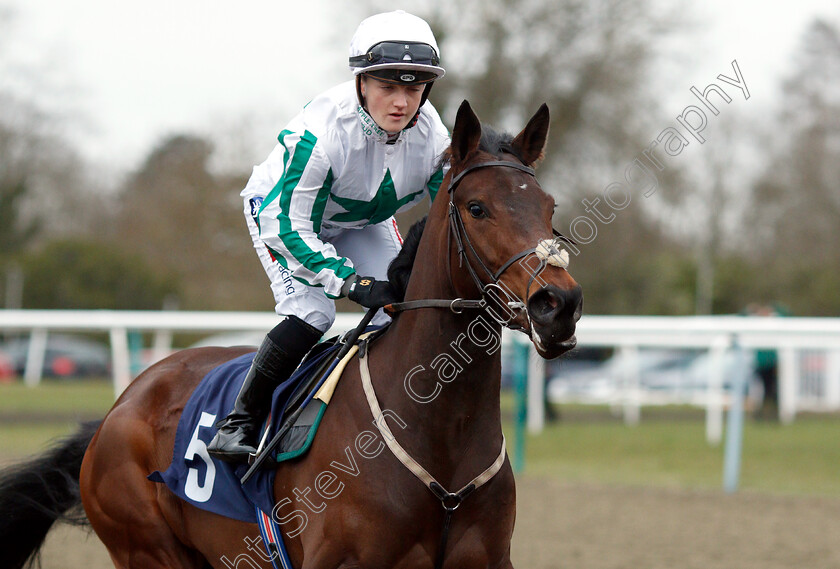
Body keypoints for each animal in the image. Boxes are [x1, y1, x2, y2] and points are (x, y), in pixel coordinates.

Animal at [0, 102, 580, 568]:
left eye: (550, 207)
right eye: (477, 208)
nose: (559, 305)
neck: (439, 432)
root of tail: (117, 409)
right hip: (149, 549)